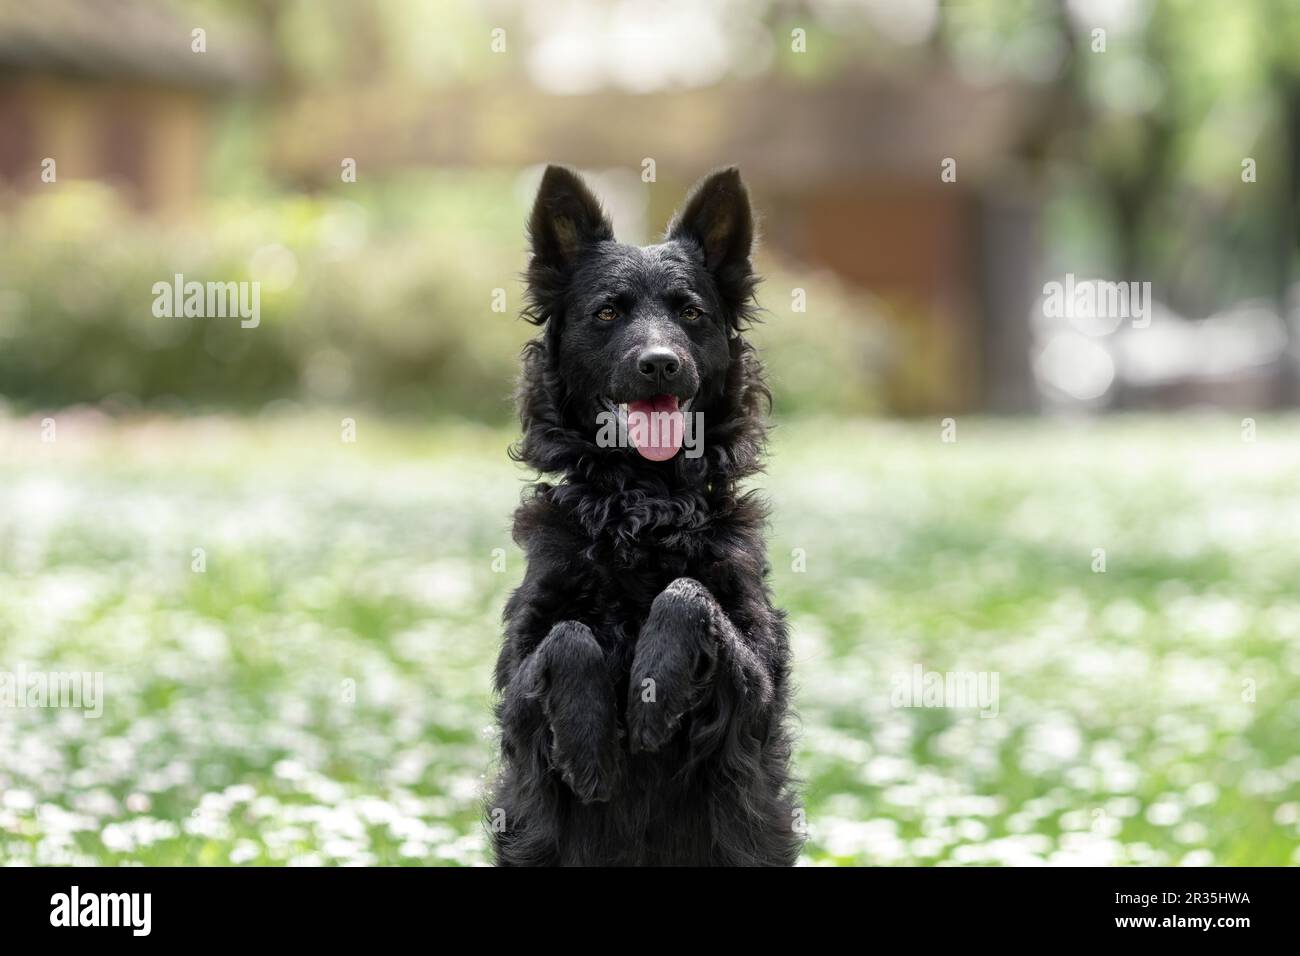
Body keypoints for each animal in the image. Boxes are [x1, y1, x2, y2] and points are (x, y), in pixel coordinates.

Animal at [488, 164, 800, 868]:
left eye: (690, 312)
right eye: (608, 312)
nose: (660, 362)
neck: (644, 505)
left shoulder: (755, 685)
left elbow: (686, 594)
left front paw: (651, 695)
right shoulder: (516, 687)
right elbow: (568, 636)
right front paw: (589, 747)